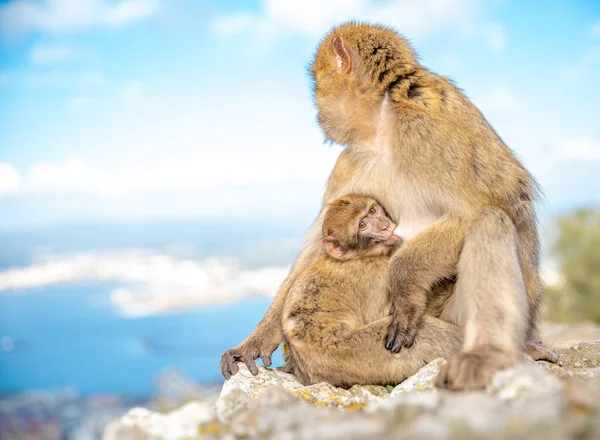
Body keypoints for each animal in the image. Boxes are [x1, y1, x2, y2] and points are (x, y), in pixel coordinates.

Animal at [282, 194, 460, 386]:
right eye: (362, 225)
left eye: (373, 211)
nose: (384, 226)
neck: (363, 256)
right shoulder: (376, 275)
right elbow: (389, 313)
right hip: (354, 354)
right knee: (428, 334)